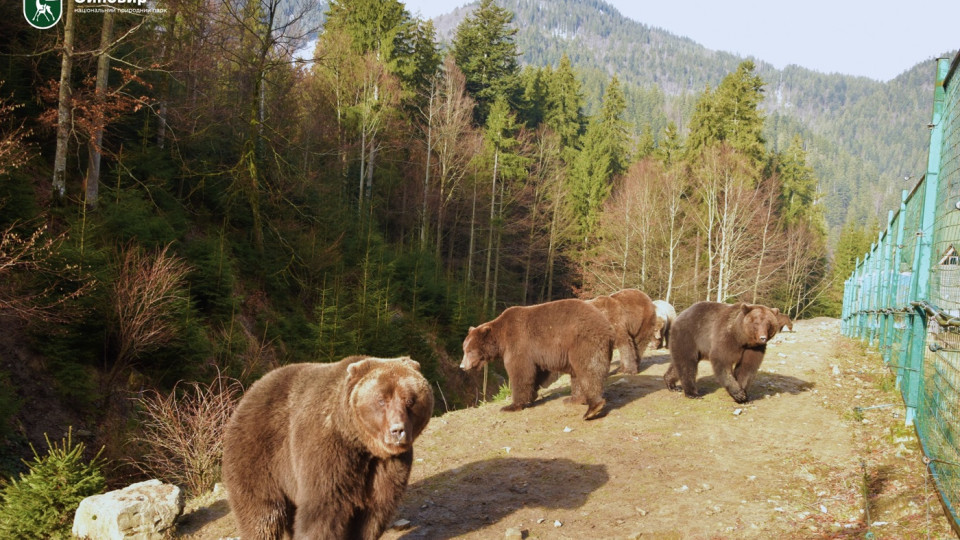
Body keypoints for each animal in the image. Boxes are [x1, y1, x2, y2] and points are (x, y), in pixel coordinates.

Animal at [219, 354, 434, 540]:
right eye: (381, 400)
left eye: (410, 400)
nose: (397, 430)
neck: (361, 443)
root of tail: (248, 393)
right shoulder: (327, 451)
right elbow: (322, 511)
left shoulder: (386, 465)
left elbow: (373, 513)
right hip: (258, 456)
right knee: (262, 515)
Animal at [460, 298, 616, 420]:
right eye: (464, 349)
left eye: (470, 351)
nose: (462, 366)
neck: (501, 340)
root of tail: (607, 326)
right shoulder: (536, 354)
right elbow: (537, 372)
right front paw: (531, 396)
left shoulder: (518, 343)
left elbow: (520, 372)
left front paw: (511, 406)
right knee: (577, 374)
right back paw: (573, 399)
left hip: (583, 340)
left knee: (588, 370)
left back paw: (592, 409)